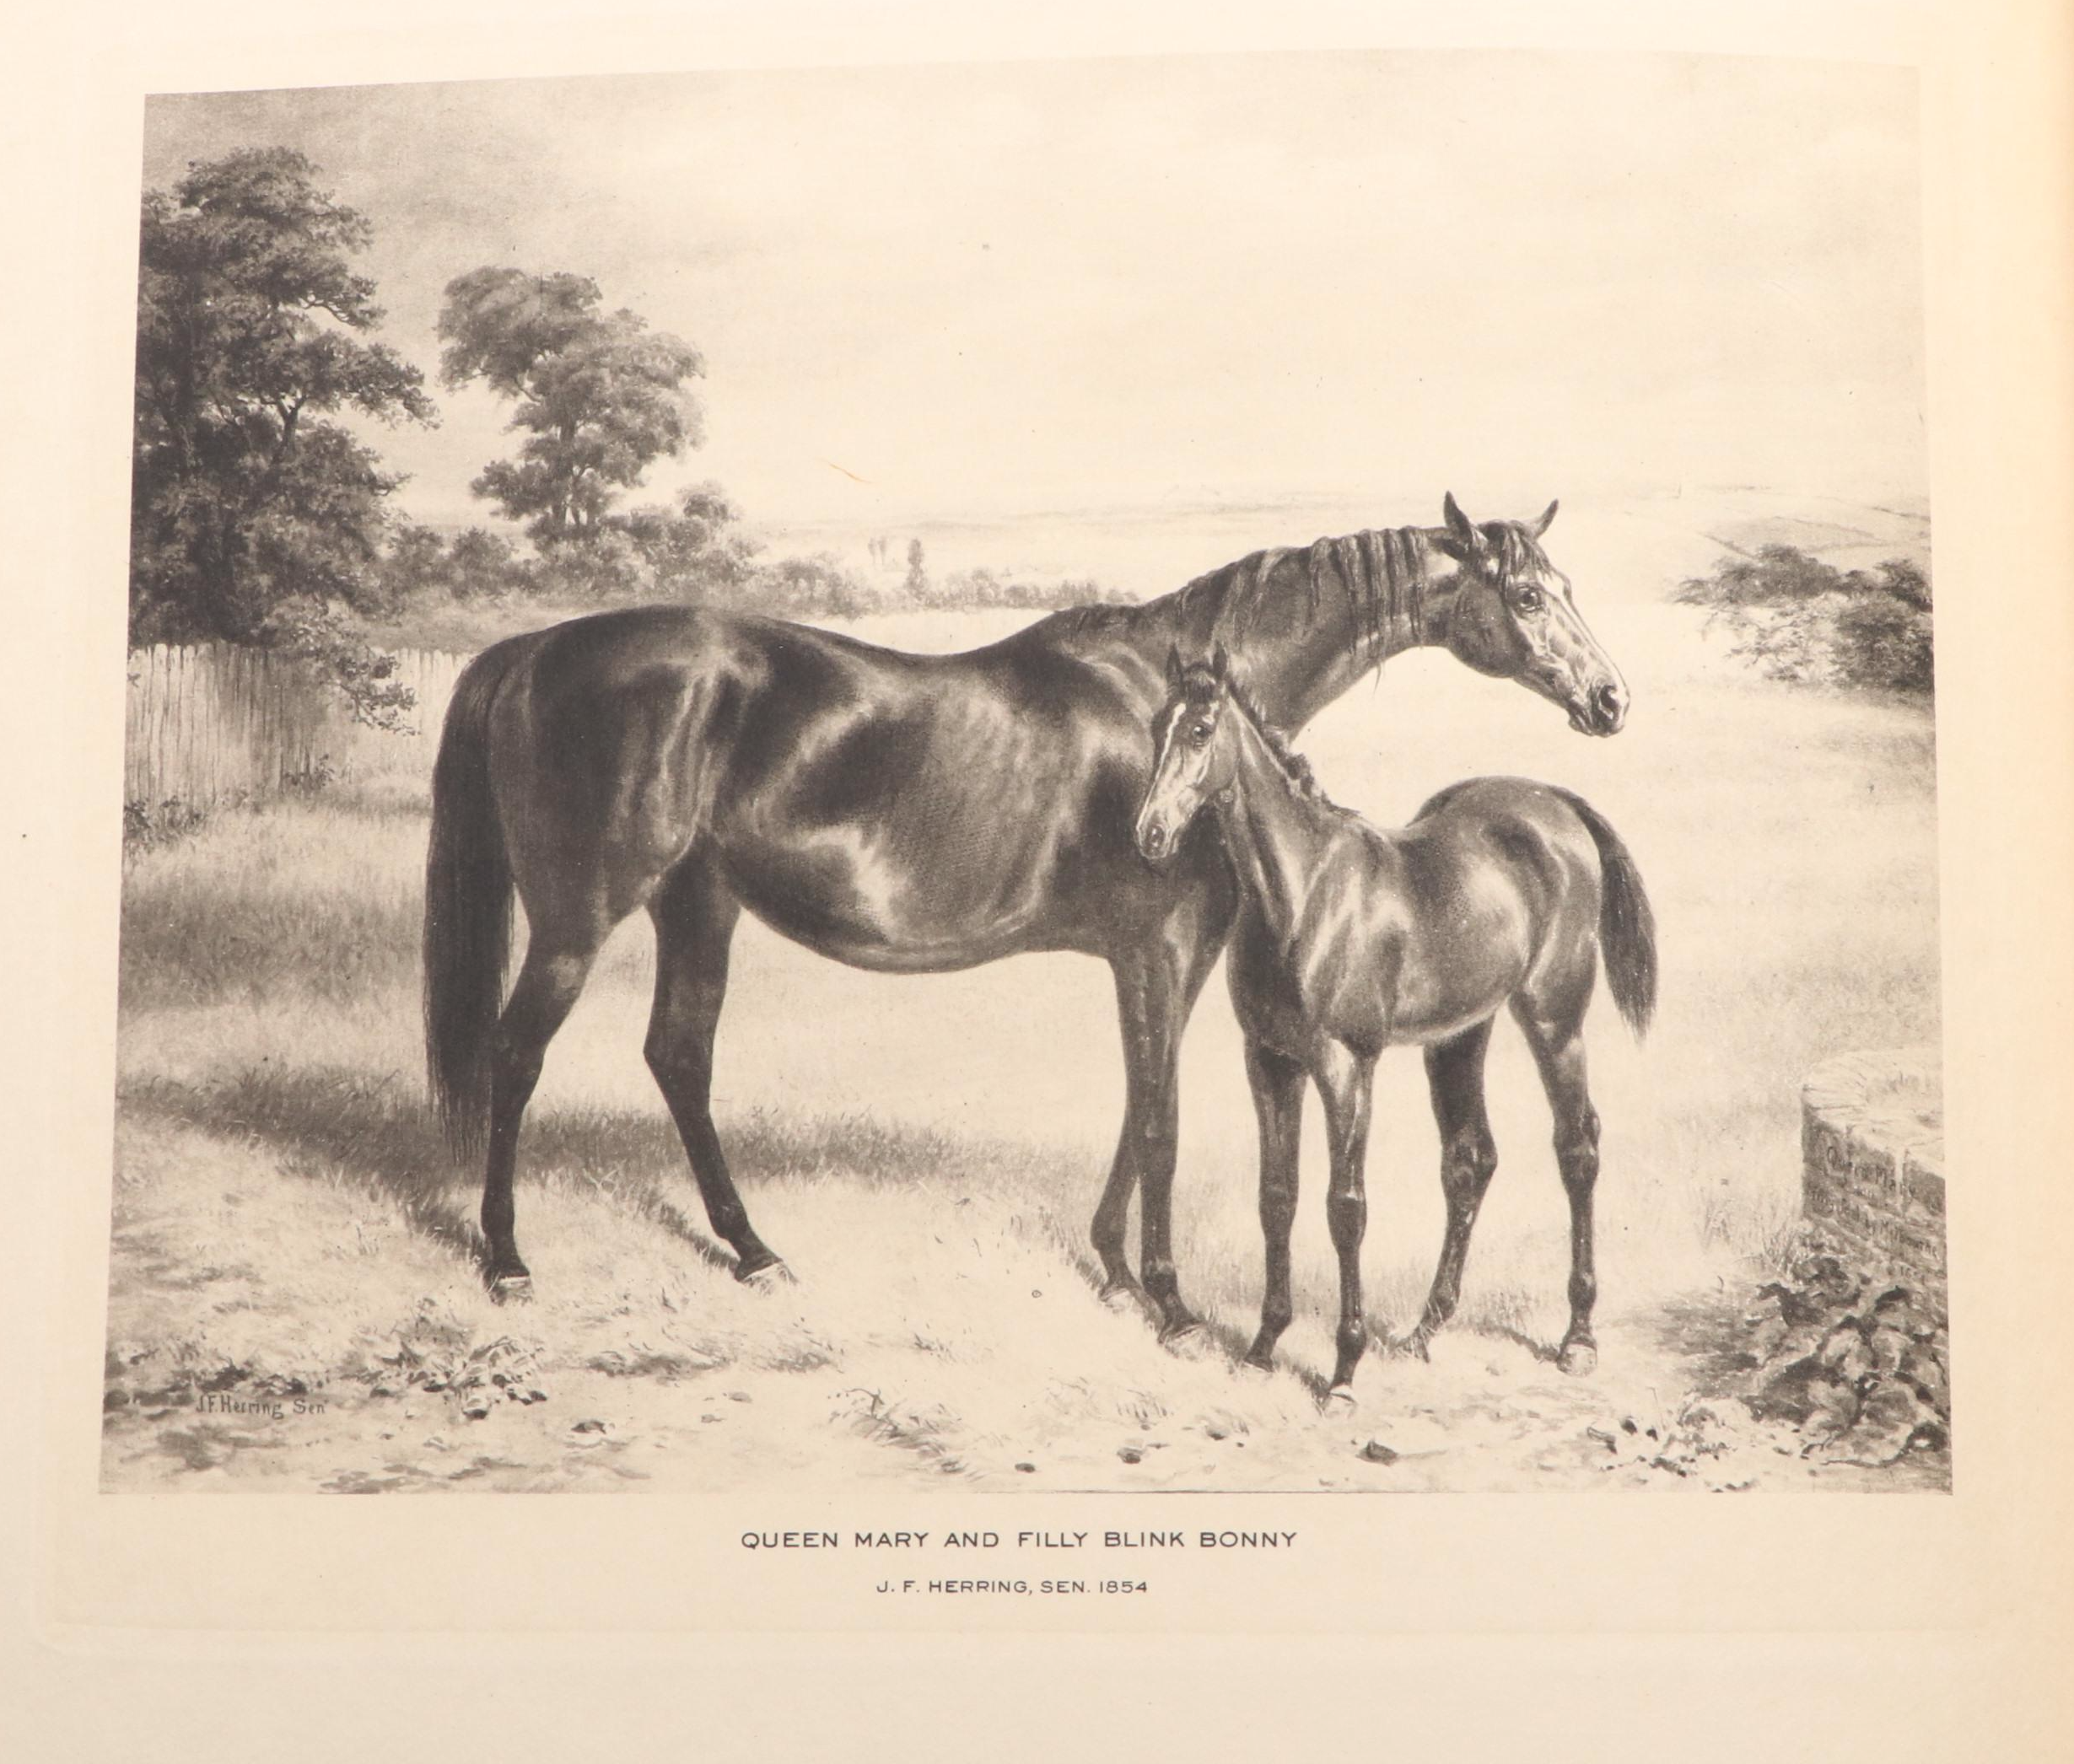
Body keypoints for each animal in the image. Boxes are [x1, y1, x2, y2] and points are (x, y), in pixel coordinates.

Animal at [422, 494, 1631, 1340]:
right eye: (1527, 597)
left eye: (1564, 582)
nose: (1610, 699)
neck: (1165, 707)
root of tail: (528, 652)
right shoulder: (1154, 949)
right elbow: (1161, 1118)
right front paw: (1170, 1303)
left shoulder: (1174, 959)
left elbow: (1144, 1102)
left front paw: (1113, 1267)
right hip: (579, 918)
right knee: (515, 1053)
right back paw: (507, 1259)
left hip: (698, 905)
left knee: (677, 1055)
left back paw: (753, 1250)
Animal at [1131, 646, 1656, 1398]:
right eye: (1155, 727)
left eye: (1201, 730)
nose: (1149, 835)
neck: (1304, 893)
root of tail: (1559, 806)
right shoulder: (1269, 1060)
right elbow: (1277, 1197)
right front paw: (1262, 1348)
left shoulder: (1346, 1065)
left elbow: (1345, 1208)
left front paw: (1343, 1372)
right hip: (1460, 1036)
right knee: (1470, 1159)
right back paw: (1423, 1330)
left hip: (1554, 1020)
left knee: (1576, 1148)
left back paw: (1577, 1337)